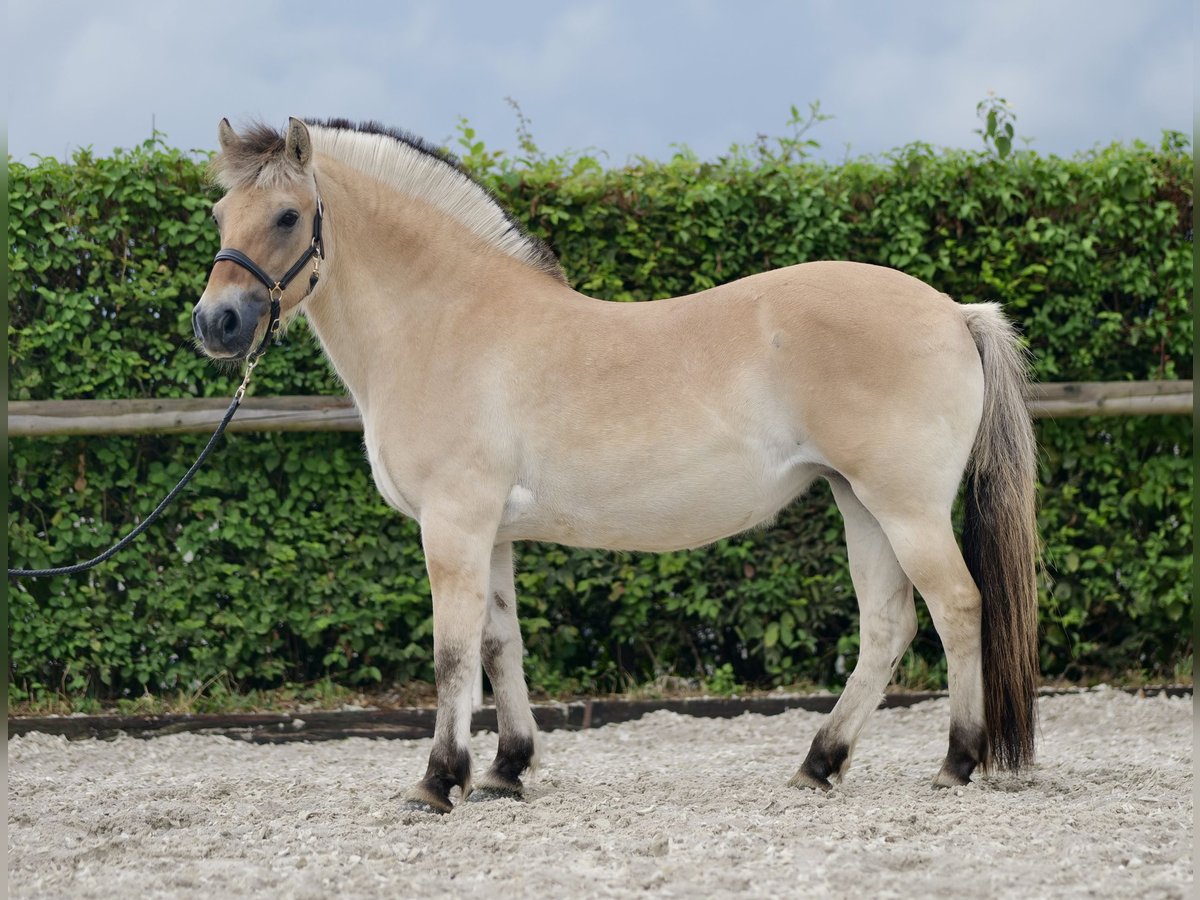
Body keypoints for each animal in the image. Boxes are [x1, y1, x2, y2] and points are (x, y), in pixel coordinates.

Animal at [194, 116, 1041, 816]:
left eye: (287, 215)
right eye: (219, 216)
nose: (216, 323)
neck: (445, 321)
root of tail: (955, 312)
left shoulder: (454, 525)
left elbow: (453, 654)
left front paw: (438, 782)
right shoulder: (492, 534)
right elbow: (501, 646)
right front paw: (506, 770)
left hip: (906, 508)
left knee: (957, 607)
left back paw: (957, 761)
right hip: (857, 502)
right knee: (887, 626)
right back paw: (819, 764)